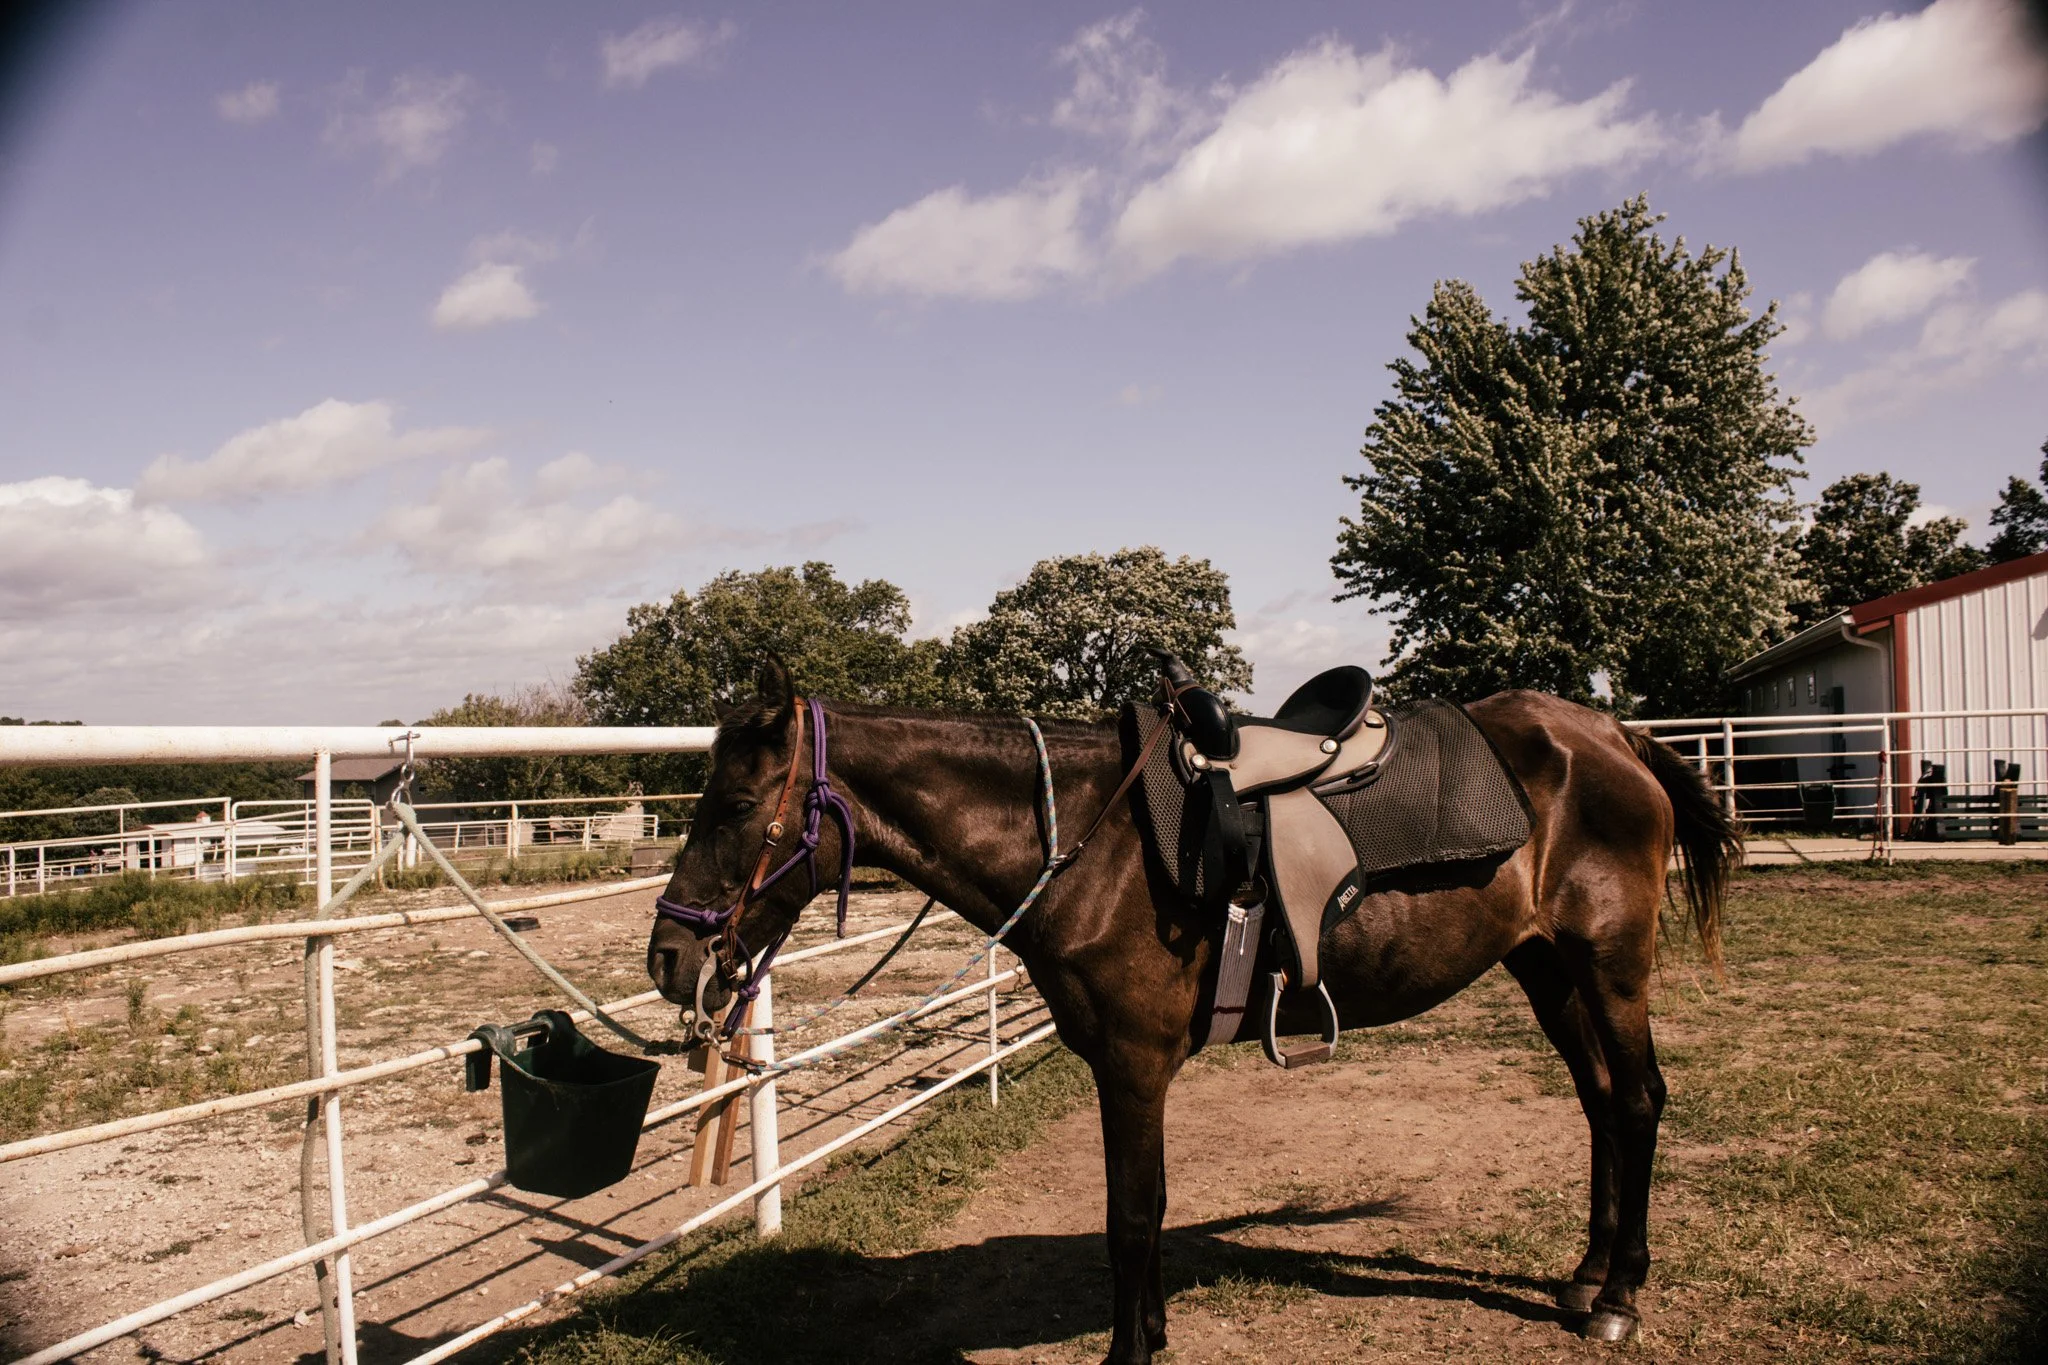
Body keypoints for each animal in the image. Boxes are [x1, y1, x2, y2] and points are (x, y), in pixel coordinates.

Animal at [646, 658, 1740, 1363]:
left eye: (734, 807)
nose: (668, 955)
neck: (1092, 842)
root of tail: (1607, 733)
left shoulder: (1131, 1064)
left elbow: (1130, 1216)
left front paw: (1129, 1355)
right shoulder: (1124, 1067)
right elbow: (1147, 1208)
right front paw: (1152, 1333)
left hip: (1609, 962)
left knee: (1637, 1099)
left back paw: (1619, 1299)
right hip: (1546, 966)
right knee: (1599, 1104)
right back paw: (1585, 1275)